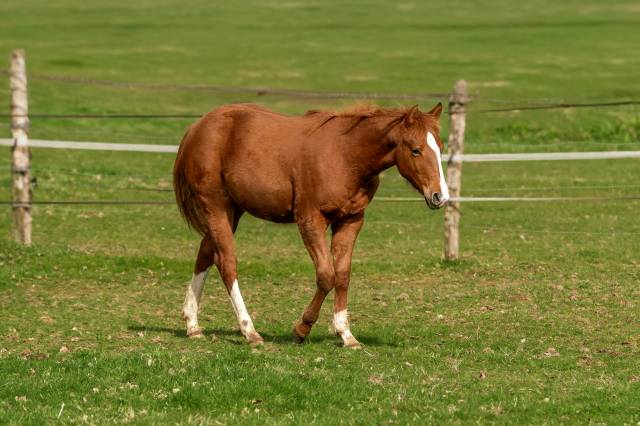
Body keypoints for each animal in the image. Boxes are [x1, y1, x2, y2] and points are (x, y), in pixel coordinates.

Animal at [172, 101, 448, 348]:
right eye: (415, 150)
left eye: (440, 148)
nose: (440, 196)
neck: (345, 154)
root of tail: (197, 128)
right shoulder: (310, 220)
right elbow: (326, 275)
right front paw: (301, 329)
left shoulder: (350, 221)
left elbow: (343, 275)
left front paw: (346, 335)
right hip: (216, 208)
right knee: (226, 264)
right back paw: (249, 331)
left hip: (232, 212)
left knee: (205, 255)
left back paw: (193, 325)